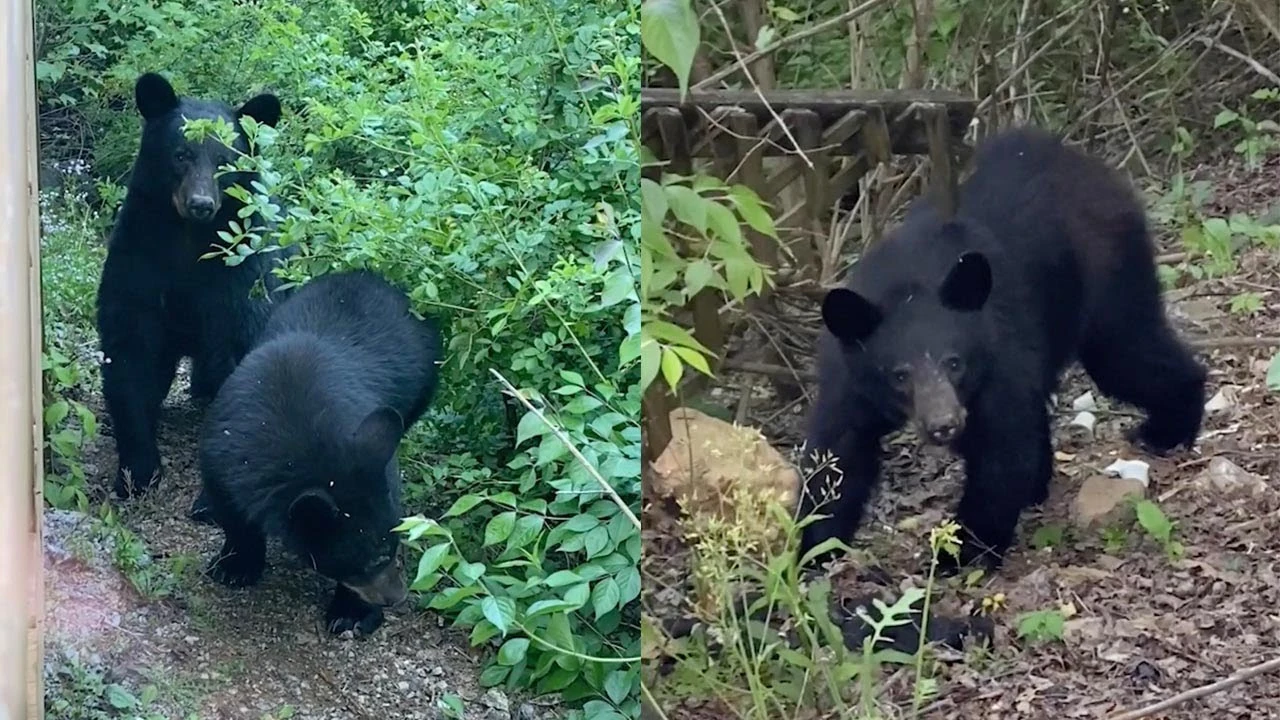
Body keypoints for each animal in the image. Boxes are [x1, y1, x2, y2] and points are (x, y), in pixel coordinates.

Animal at [96, 71, 293, 501]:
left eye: (225, 160)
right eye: (181, 153)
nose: (201, 203)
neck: (189, 242)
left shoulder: (241, 275)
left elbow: (242, 353)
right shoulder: (138, 262)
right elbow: (130, 350)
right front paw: (137, 472)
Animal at [197, 270, 442, 636]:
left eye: (392, 547)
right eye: (370, 560)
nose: (397, 597)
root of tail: (370, 276)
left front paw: (352, 614)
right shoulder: (220, 454)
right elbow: (231, 510)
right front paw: (234, 566)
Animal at [795, 127, 1207, 573]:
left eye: (954, 362)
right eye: (898, 374)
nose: (944, 424)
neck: (907, 288)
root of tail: (1085, 163)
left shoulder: (998, 357)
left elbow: (1002, 448)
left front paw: (959, 552)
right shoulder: (849, 380)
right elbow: (839, 455)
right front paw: (811, 549)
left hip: (1108, 270)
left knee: (1127, 353)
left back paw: (1167, 428)